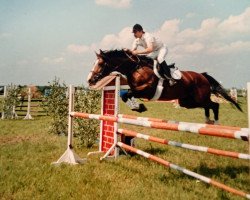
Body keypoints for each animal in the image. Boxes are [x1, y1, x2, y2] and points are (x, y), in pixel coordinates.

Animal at [87, 48, 241, 123]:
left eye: (101, 64)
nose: (90, 80)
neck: (135, 68)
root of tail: (202, 76)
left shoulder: (147, 90)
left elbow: (128, 94)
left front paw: (139, 107)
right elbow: (125, 94)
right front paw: (137, 107)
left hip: (198, 98)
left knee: (215, 105)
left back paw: (216, 123)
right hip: (188, 102)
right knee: (208, 106)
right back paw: (208, 121)